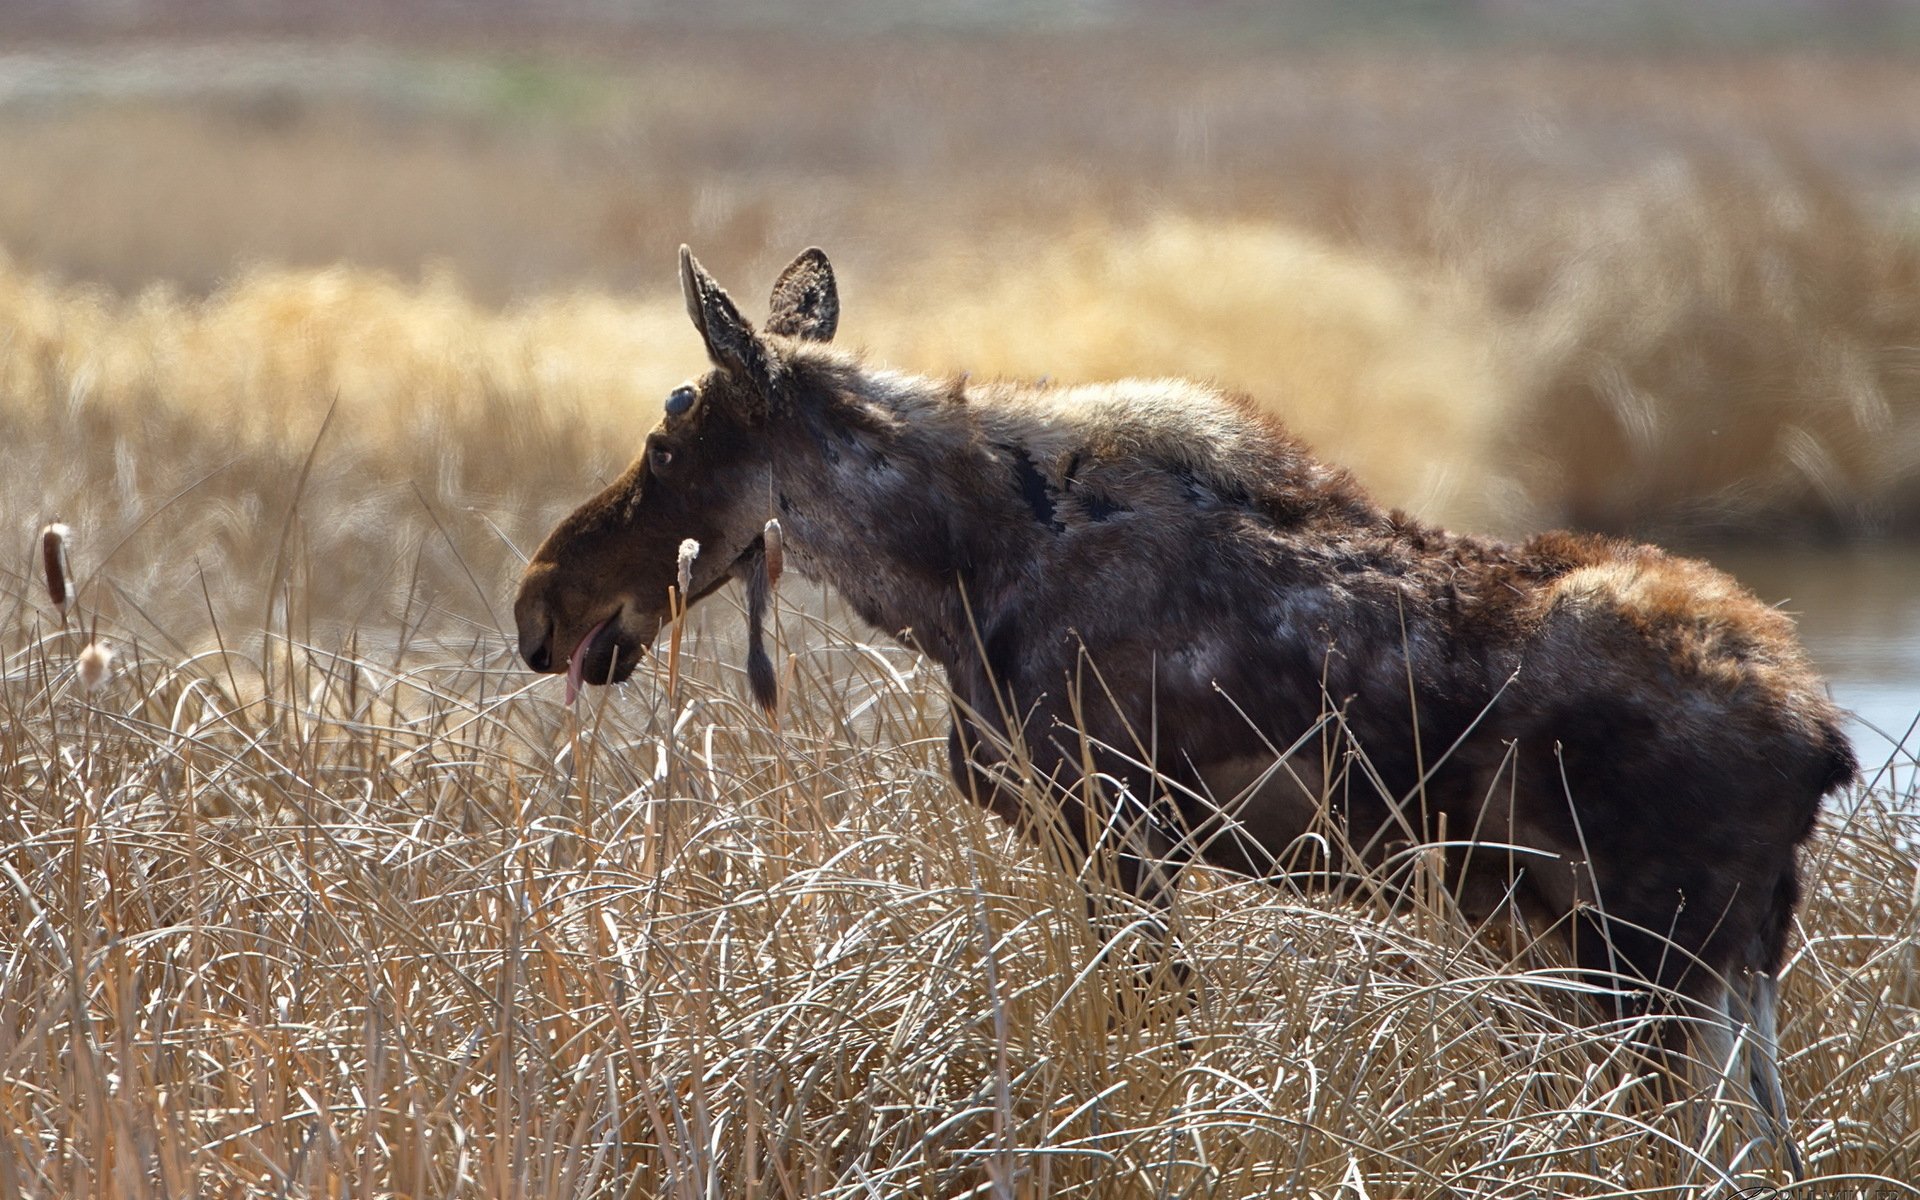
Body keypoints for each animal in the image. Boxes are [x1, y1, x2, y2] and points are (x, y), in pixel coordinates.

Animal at [514, 247, 1856, 1176]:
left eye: (664, 447)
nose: (540, 601)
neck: (954, 578)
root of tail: (1822, 740)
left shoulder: (1117, 837)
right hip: (1715, 975)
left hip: (1651, 970)